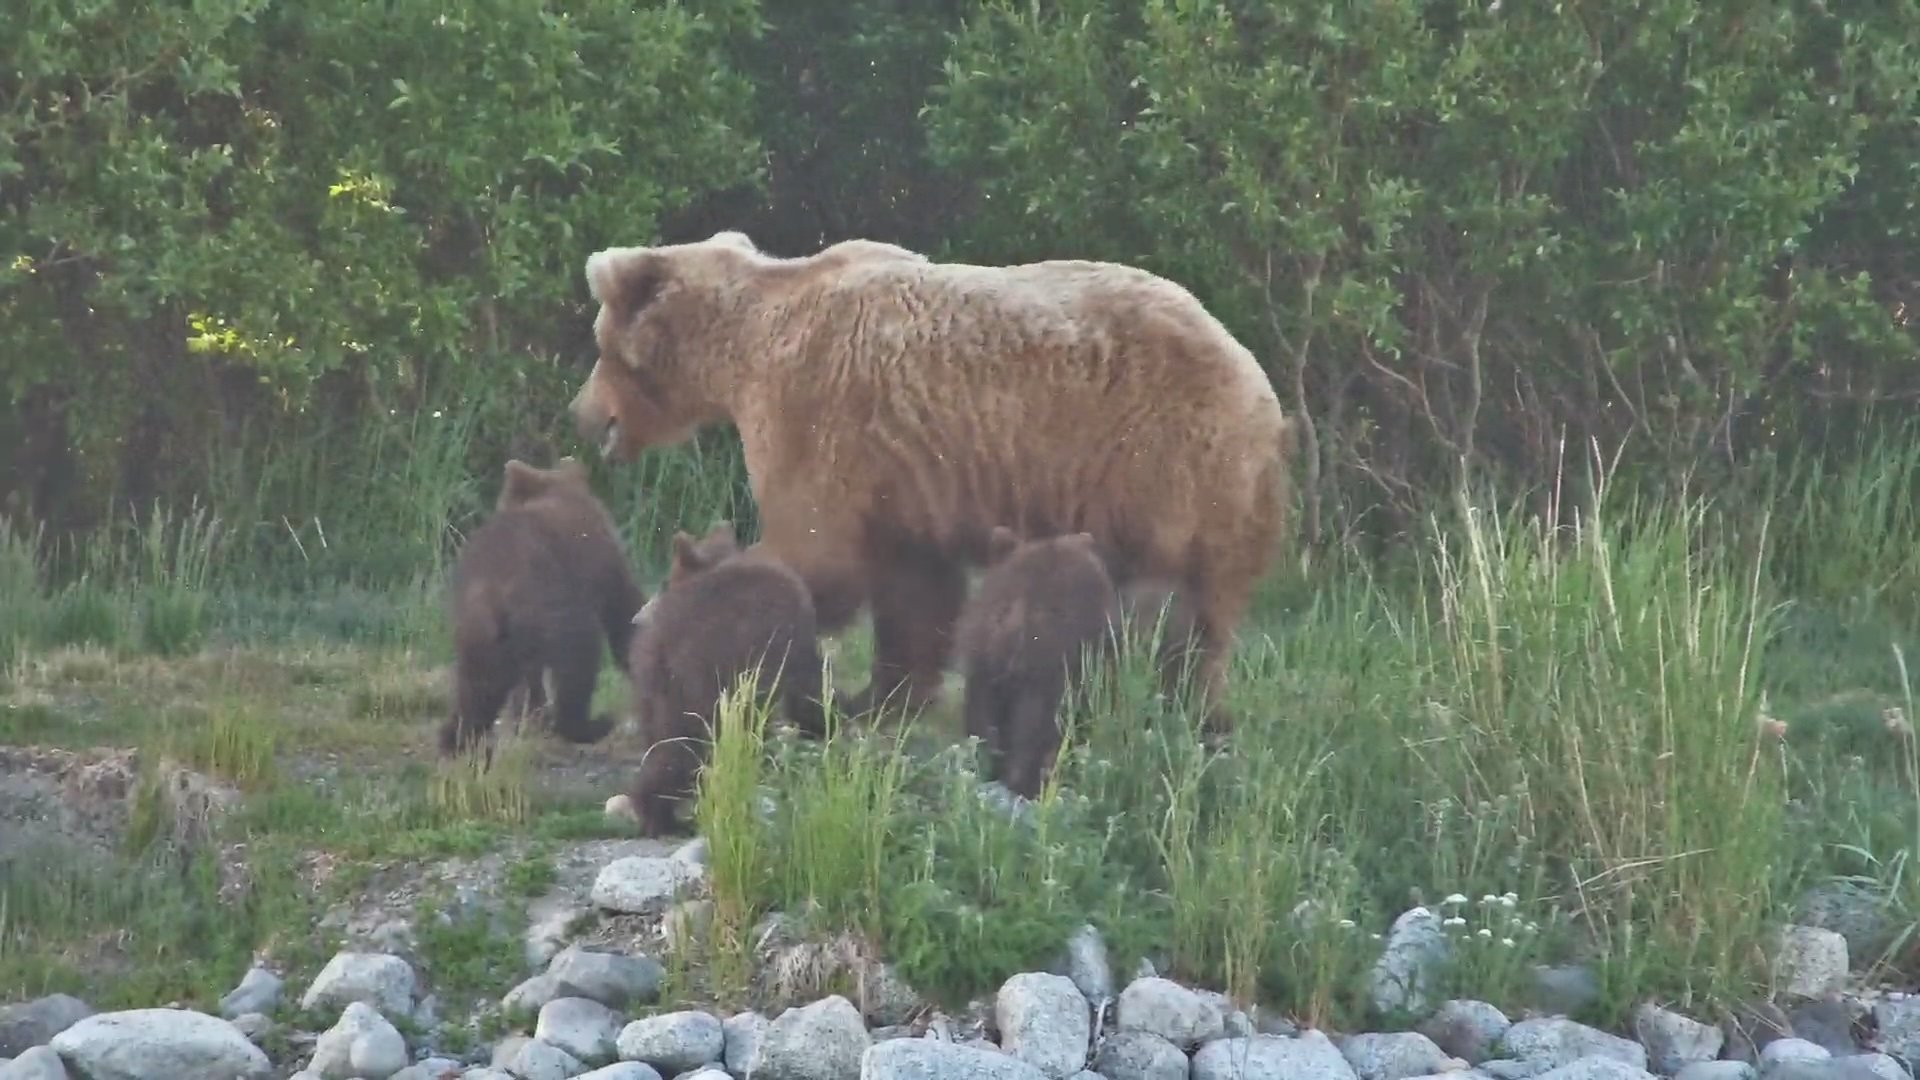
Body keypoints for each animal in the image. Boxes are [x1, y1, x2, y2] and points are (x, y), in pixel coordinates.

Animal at [437, 457, 647, 759]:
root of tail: (493, 594)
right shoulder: (604, 564)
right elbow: (624, 614)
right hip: (552, 606)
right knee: (580, 662)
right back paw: (591, 724)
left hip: (478, 635)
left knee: (478, 687)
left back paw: (456, 738)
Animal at [567, 229, 1293, 735]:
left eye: (599, 343)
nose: (584, 413)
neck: (742, 347)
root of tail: (1261, 389)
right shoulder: (903, 476)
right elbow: (913, 589)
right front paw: (881, 698)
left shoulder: (813, 410)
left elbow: (814, 553)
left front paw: (668, 610)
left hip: (1163, 465)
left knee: (1175, 609)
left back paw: (1172, 702)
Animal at [625, 520, 829, 836]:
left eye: (664, 582)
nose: (636, 617)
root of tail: (663, 643)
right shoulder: (786, 639)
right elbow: (805, 691)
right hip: (702, 682)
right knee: (686, 744)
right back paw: (664, 817)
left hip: (654, 687)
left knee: (661, 740)